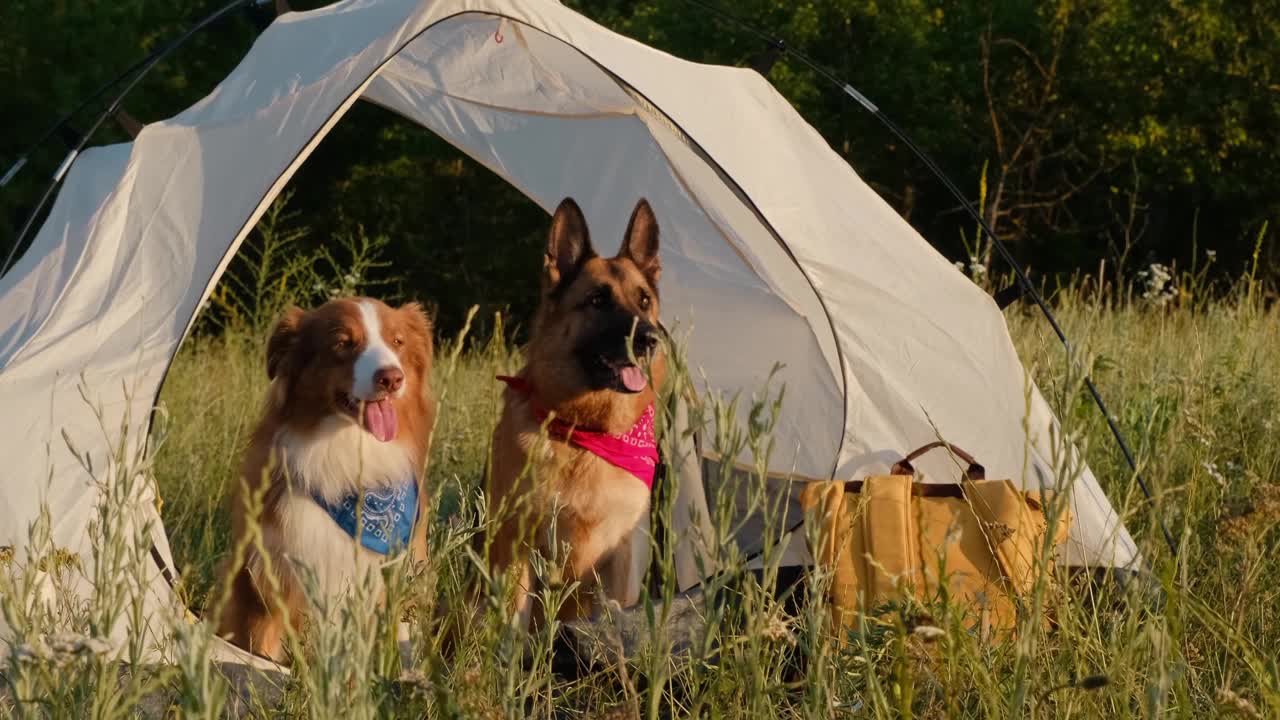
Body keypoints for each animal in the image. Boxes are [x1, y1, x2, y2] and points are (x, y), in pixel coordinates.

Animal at [486, 197, 670, 627]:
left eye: (644, 300)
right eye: (597, 300)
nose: (650, 339)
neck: (583, 430)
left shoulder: (620, 562)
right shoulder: (519, 551)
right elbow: (511, 629)